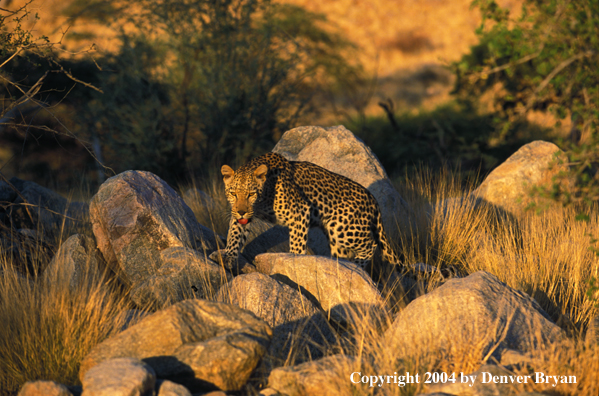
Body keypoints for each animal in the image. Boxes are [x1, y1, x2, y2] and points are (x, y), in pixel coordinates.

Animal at [220, 152, 404, 270]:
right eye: (233, 193)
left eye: (251, 194)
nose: (242, 212)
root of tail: (372, 198)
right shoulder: (240, 215)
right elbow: (235, 234)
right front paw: (228, 256)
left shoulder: (299, 212)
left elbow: (297, 243)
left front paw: (293, 263)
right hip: (337, 239)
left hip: (342, 229)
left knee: (370, 244)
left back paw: (357, 266)